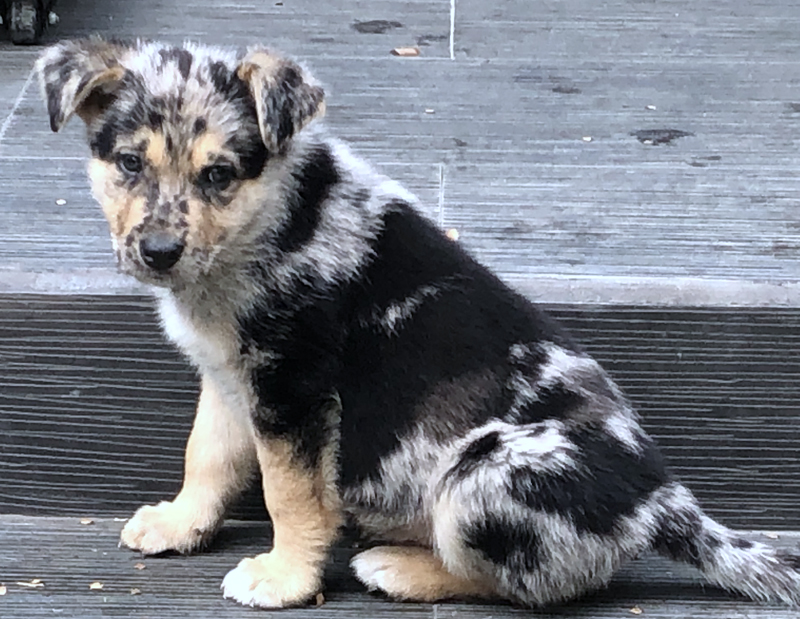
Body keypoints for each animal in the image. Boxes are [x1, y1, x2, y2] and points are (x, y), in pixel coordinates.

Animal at [34, 40, 800, 612]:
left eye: (219, 174)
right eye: (128, 163)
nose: (159, 252)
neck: (263, 228)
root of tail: (656, 500)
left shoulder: (294, 387)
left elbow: (289, 493)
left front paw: (284, 578)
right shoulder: (232, 379)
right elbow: (207, 456)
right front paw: (179, 523)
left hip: (485, 472)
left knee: (536, 584)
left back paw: (400, 567)